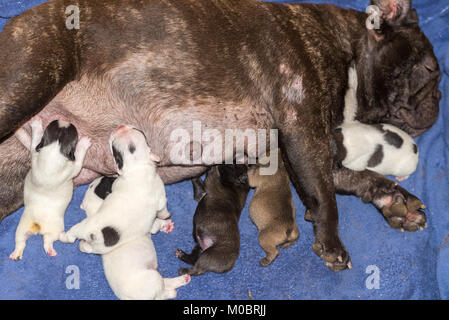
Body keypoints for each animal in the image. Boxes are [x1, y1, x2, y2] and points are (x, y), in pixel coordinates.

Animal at [9, 119, 91, 260]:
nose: (64, 120)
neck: (53, 152)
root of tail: (37, 224)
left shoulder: (35, 153)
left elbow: (34, 143)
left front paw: (36, 126)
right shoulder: (72, 168)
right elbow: (79, 162)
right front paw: (84, 143)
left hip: (21, 228)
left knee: (20, 241)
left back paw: (15, 253)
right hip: (54, 230)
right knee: (48, 241)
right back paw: (51, 250)